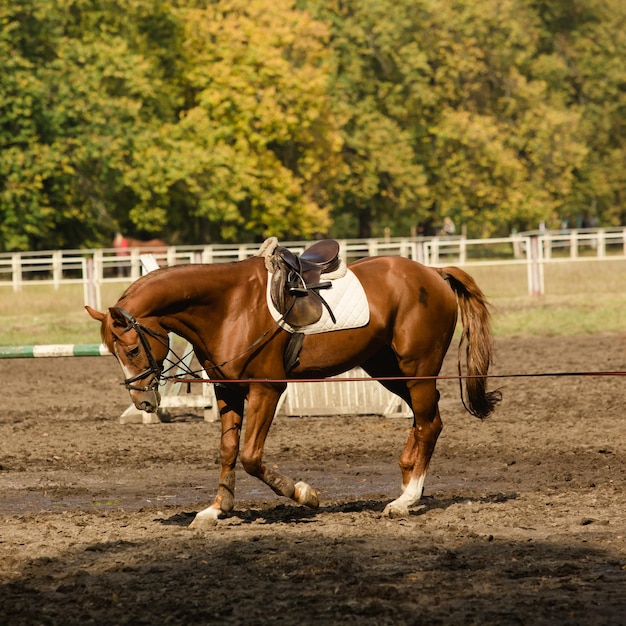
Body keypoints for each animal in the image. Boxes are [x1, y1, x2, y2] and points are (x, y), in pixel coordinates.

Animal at [86, 251, 498, 524]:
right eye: (113, 352)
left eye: (132, 349)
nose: (143, 402)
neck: (228, 306)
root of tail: (433, 272)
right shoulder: (227, 391)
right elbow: (228, 450)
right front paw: (217, 509)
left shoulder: (267, 389)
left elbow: (250, 456)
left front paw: (305, 495)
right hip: (388, 370)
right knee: (426, 419)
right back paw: (409, 479)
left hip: (417, 370)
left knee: (429, 422)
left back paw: (405, 498)